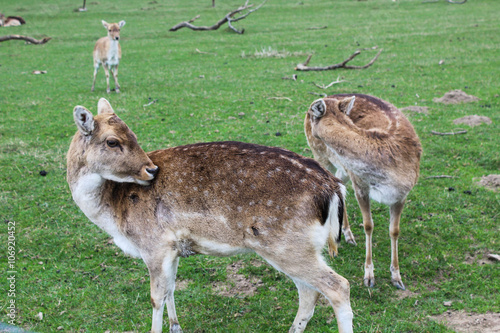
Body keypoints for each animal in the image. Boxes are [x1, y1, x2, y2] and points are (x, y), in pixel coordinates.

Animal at [66, 98, 354, 332]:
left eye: (133, 136)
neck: (113, 213)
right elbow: (170, 289)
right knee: (309, 293)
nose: (151, 170)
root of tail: (333, 188)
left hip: (287, 245)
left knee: (337, 286)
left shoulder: (153, 244)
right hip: (295, 247)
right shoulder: (172, 248)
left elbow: (156, 297)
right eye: (113, 141)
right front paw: (176, 326)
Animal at [304, 92, 422, 288]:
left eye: (314, 115)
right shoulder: (360, 185)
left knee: (339, 184)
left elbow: (394, 230)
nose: (307, 114)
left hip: (343, 169)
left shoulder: (401, 194)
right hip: (321, 156)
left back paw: (348, 235)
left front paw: (397, 277)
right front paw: (369, 276)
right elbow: (368, 225)